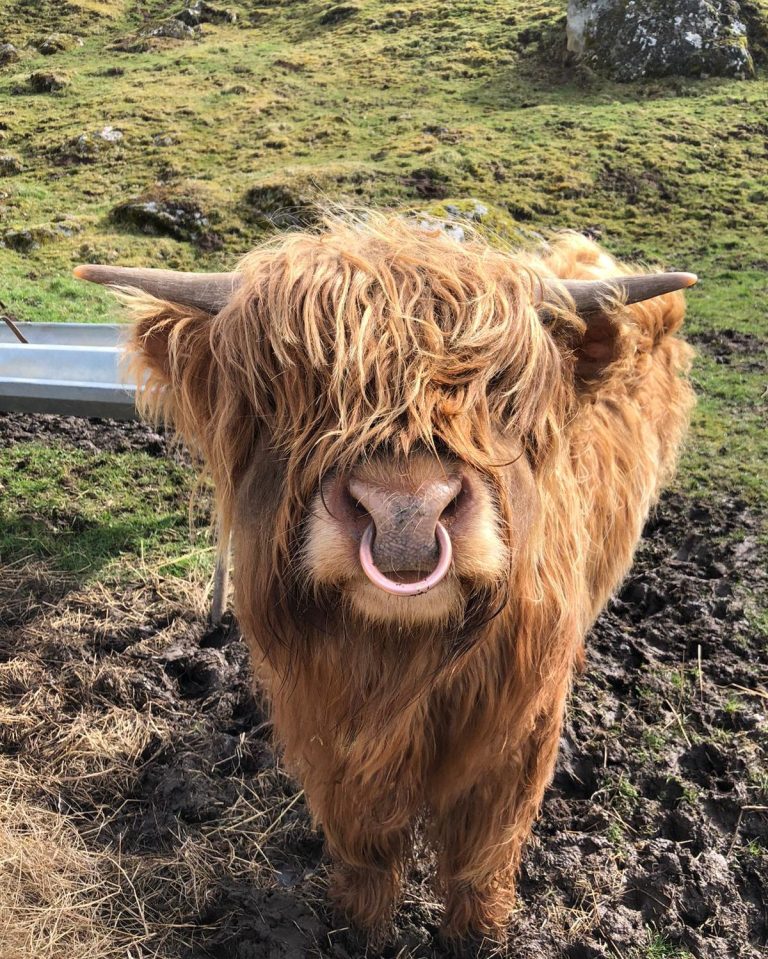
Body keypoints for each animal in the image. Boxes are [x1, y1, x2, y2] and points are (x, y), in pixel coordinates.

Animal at [76, 216, 696, 936]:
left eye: (501, 391)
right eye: (285, 392)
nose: (406, 512)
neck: (400, 658)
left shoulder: (518, 728)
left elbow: (482, 852)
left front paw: (479, 933)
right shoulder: (326, 719)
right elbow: (363, 842)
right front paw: (359, 926)